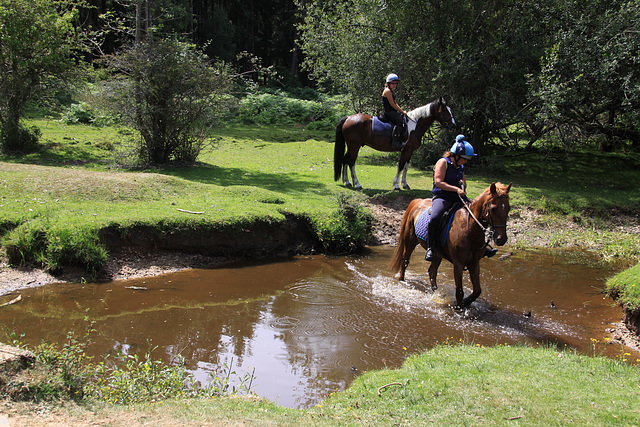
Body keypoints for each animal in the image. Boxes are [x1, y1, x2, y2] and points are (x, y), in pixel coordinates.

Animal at [388, 182, 512, 310]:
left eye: (508, 208)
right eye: (493, 208)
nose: (501, 239)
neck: (469, 227)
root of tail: (417, 201)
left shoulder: (474, 262)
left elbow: (477, 290)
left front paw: (466, 302)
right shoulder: (458, 263)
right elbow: (460, 291)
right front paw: (459, 307)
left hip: (437, 254)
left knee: (432, 271)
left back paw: (436, 292)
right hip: (410, 241)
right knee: (405, 261)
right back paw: (402, 280)